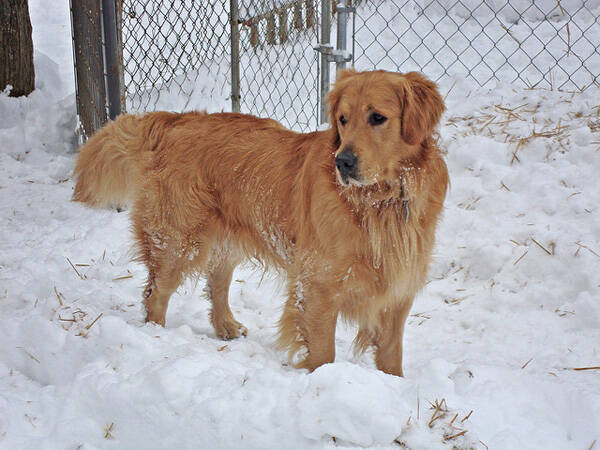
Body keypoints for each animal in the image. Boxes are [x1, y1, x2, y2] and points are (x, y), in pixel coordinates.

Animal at [72, 68, 448, 374]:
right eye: (342, 119)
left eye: (377, 118)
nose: (343, 162)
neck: (380, 201)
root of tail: (176, 120)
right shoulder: (318, 283)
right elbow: (323, 351)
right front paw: (321, 380)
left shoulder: (399, 287)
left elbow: (391, 353)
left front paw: (394, 384)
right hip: (178, 241)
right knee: (155, 293)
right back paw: (156, 337)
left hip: (225, 236)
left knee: (216, 280)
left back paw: (225, 325)